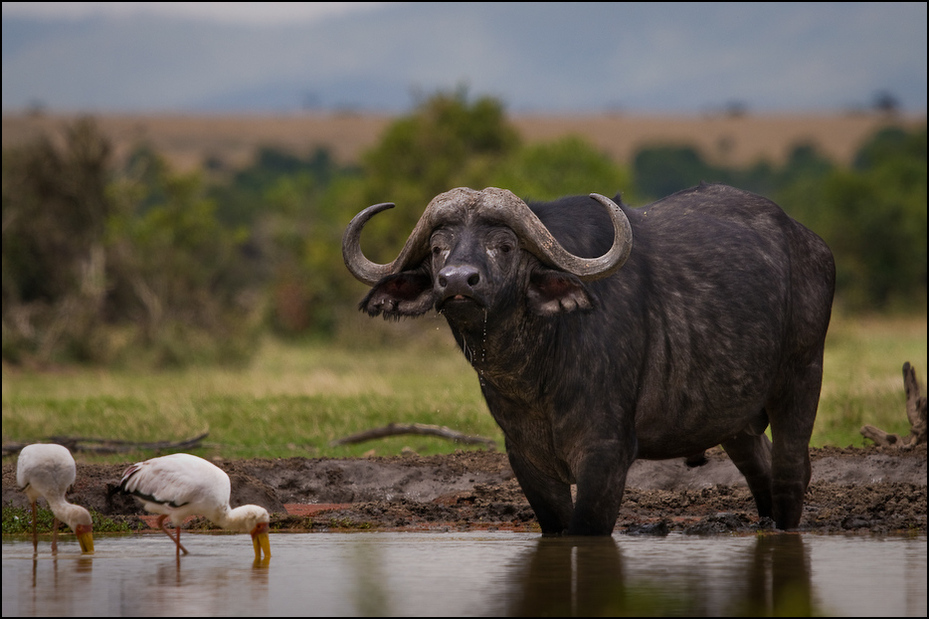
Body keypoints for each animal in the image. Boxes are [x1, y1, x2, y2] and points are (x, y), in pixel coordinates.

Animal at [340, 182, 832, 536]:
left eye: (505, 246)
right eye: (438, 247)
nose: (458, 281)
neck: (536, 374)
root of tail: (811, 244)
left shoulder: (606, 455)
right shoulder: (526, 459)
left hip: (802, 378)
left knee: (791, 471)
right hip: (735, 421)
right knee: (760, 472)